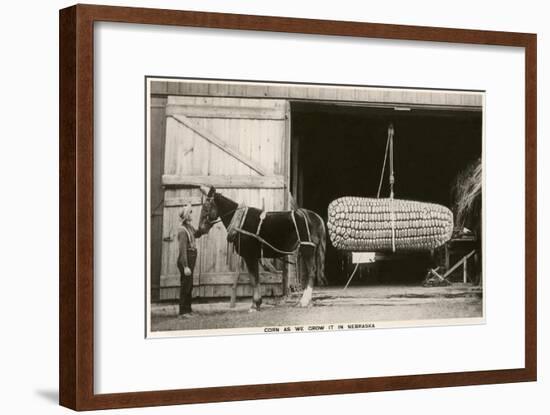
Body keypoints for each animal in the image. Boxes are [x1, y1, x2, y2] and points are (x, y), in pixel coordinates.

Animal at [198, 187, 328, 310]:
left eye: (206, 207)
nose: (199, 230)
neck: (240, 221)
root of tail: (315, 216)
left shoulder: (249, 256)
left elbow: (254, 279)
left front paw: (255, 304)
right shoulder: (253, 256)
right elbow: (254, 278)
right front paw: (255, 303)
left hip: (307, 249)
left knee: (312, 272)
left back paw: (304, 301)